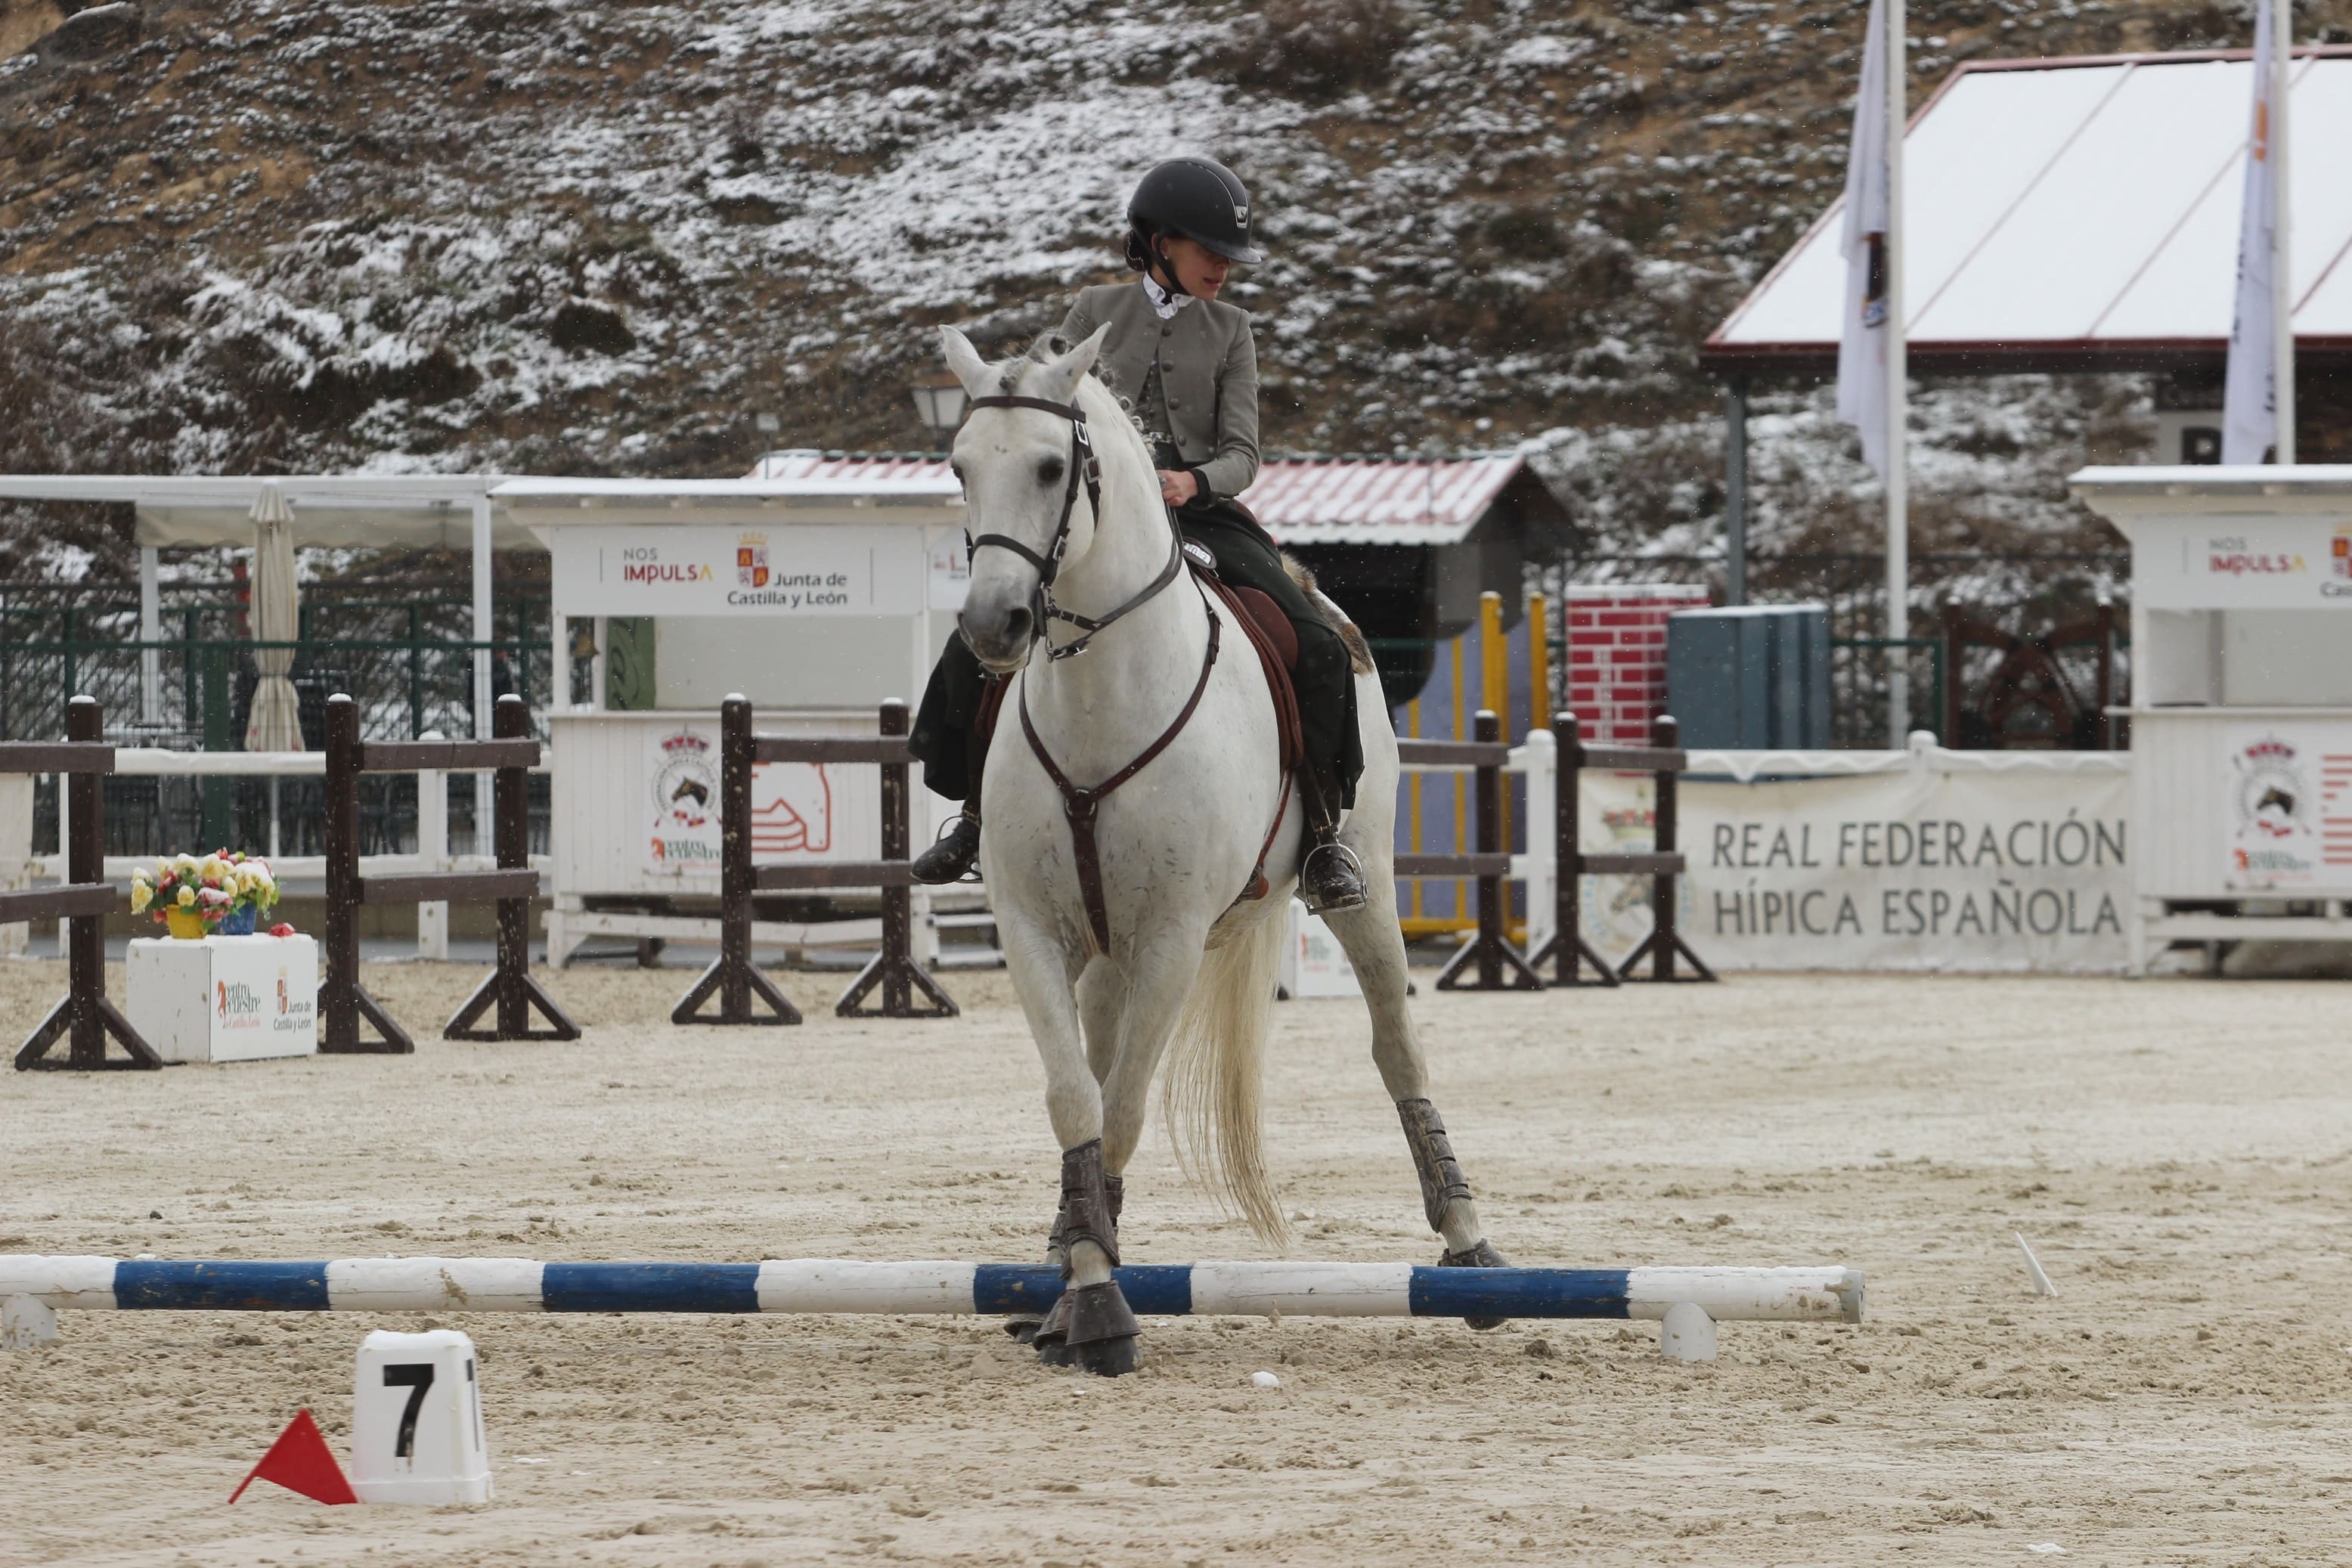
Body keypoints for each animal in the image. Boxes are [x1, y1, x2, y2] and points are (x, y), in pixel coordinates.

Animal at [940, 329, 1505, 1372]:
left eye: (1050, 467)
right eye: (959, 467)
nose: (991, 625)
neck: (1100, 701)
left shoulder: (1170, 939)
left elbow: (1122, 1110)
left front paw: (1097, 1305)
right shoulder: (1035, 931)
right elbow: (1077, 1101)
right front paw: (1081, 1280)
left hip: (1366, 892)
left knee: (1396, 1049)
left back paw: (1471, 1245)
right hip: (1106, 952)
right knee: (1099, 1063)